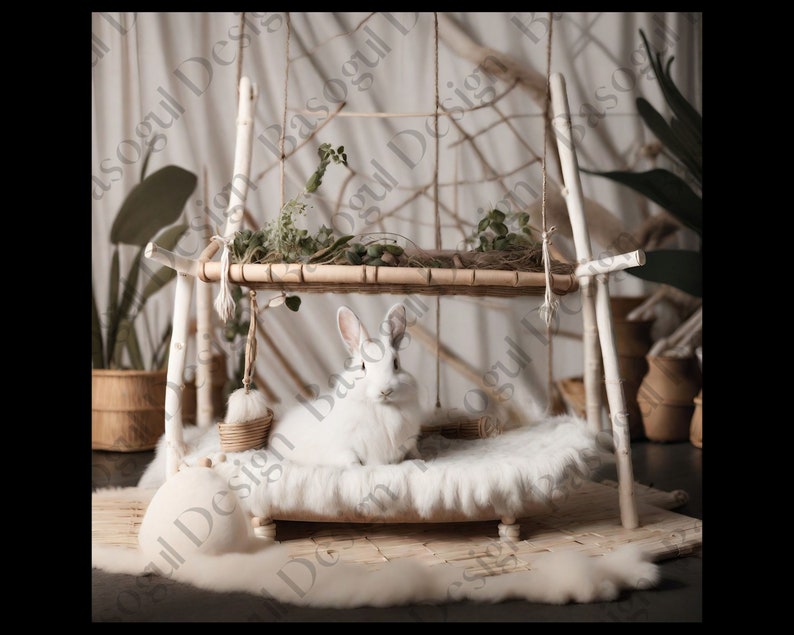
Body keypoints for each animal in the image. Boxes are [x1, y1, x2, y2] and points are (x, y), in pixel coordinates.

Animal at [267, 303, 424, 467]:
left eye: (396, 363)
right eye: (362, 366)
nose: (385, 391)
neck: (382, 407)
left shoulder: (409, 442)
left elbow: (414, 452)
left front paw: (420, 458)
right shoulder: (343, 449)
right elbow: (352, 461)